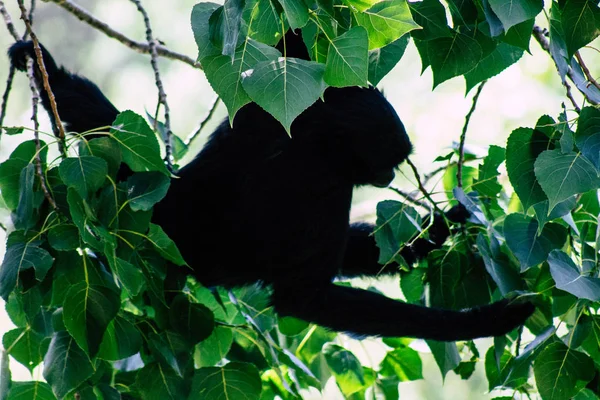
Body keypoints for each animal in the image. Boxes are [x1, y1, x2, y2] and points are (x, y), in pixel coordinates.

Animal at [7, 39, 536, 340]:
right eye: (390, 163)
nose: (390, 178)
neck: (315, 139)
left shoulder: (270, 112)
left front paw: (443, 225)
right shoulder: (327, 184)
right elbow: (303, 297)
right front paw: (487, 320)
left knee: (111, 130)